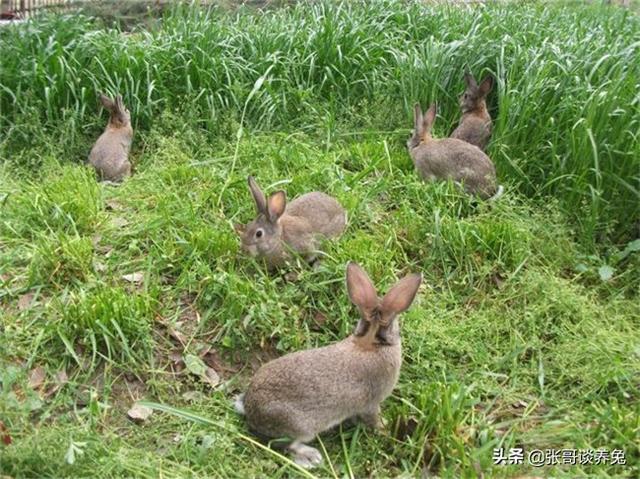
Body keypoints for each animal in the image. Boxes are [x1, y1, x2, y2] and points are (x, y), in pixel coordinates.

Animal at [234, 262, 420, 468]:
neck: (370, 342)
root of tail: (251, 409)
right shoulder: (371, 403)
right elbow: (373, 419)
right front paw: (385, 428)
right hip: (300, 426)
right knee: (284, 444)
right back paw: (311, 457)